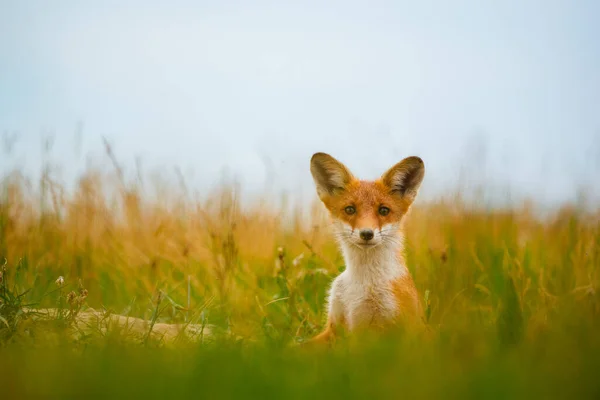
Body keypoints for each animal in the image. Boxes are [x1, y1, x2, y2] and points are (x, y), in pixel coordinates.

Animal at [304, 153, 426, 346]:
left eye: (383, 210)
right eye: (350, 209)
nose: (367, 233)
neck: (364, 282)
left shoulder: (394, 329)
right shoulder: (334, 327)